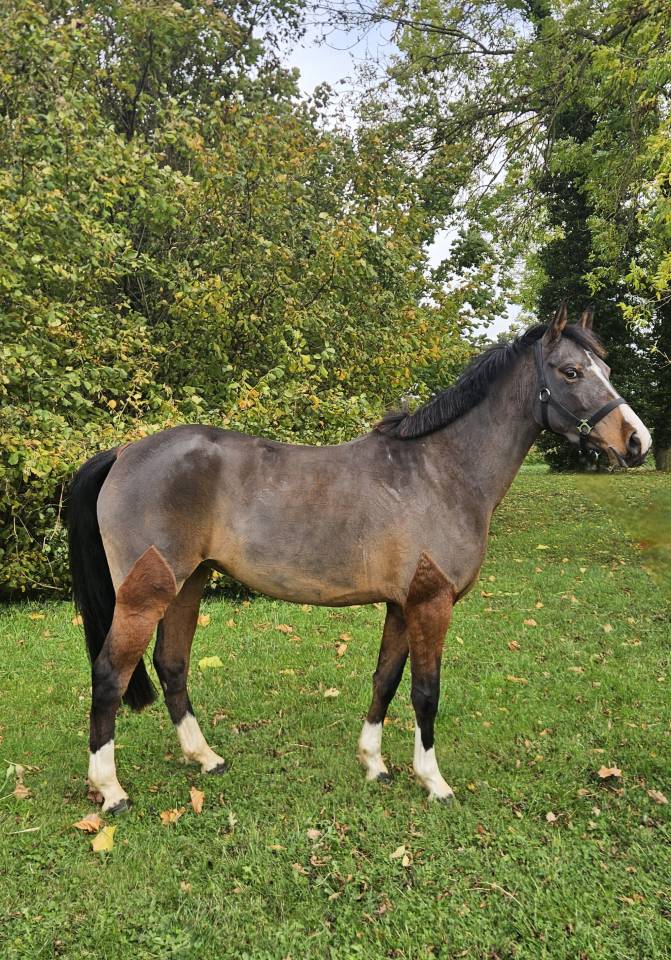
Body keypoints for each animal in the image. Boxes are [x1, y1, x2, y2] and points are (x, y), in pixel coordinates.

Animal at [66, 304, 651, 813]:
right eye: (572, 371)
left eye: (605, 368)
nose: (637, 441)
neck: (441, 471)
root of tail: (123, 452)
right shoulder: (431, 603)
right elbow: (425, 691)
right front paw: (433, 782)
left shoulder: (401, 605)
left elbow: (385, 680)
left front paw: (374, 764)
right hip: (146, 594)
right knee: (110, 674)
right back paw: (111, 790)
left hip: (189, 583)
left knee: (172, 664)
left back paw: (205, 757)